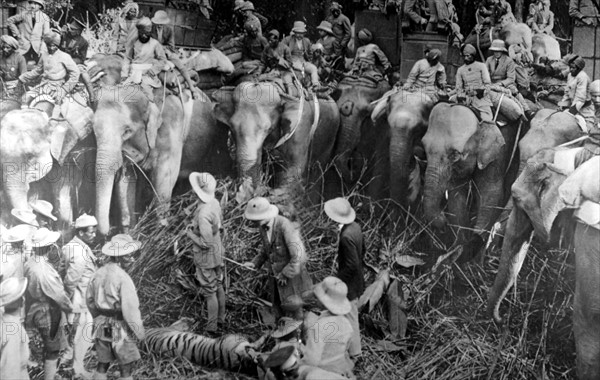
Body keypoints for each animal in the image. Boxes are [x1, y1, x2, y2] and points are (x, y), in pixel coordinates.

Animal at [422, 103, 520, 258]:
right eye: (424, 147)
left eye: (455, 154)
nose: (443, 219)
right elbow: (456, 195)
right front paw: (458, 249)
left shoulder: (499, 153)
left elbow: (492, 192)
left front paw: (476, 242)